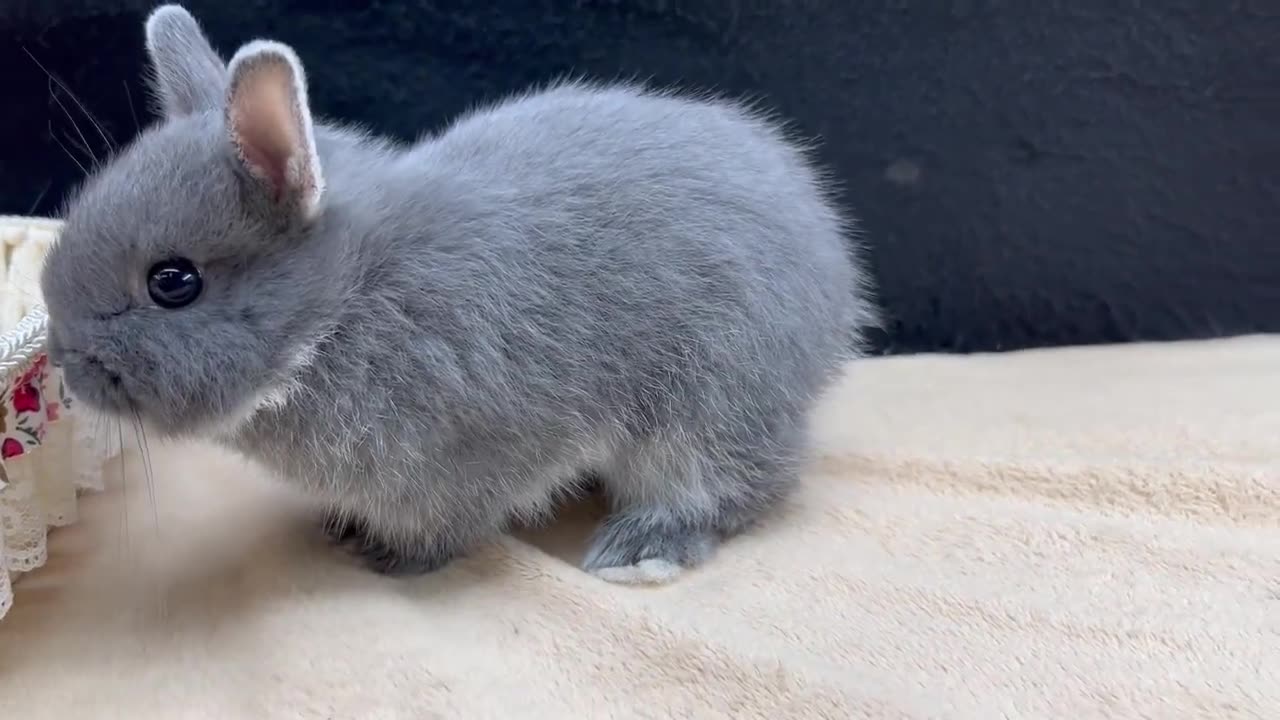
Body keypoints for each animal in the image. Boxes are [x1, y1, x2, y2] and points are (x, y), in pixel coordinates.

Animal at [42, 5, 880, 584]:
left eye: (173, 282)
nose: (66, 366)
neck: (341, 305)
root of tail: (834, 273)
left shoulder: (470, 455)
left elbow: (450, 525)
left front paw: (387, 558)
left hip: (709, 401)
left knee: (739, 483)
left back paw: (640, 552)